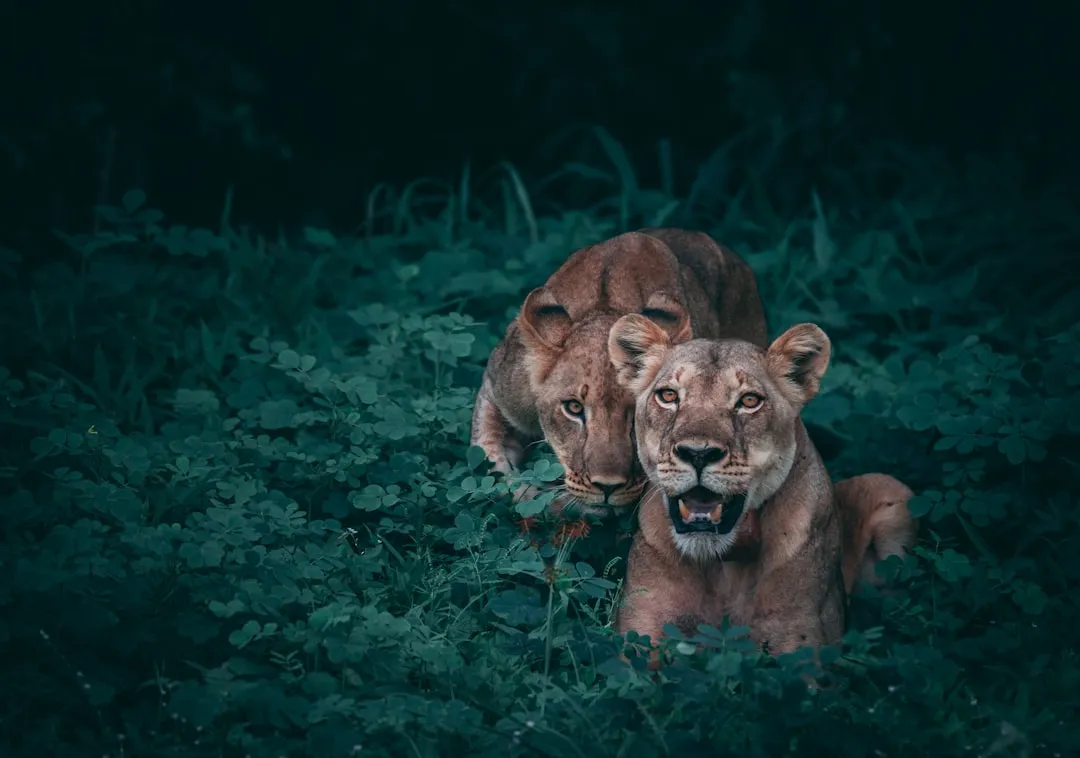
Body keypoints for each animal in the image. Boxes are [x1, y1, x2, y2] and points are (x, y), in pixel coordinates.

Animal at [607, 315, 918, 660]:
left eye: (749, 401)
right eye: (669, 396)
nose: (698, 453)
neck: (722, 565)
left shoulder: (800, 642)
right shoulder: (640, 630)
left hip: (892, 490)